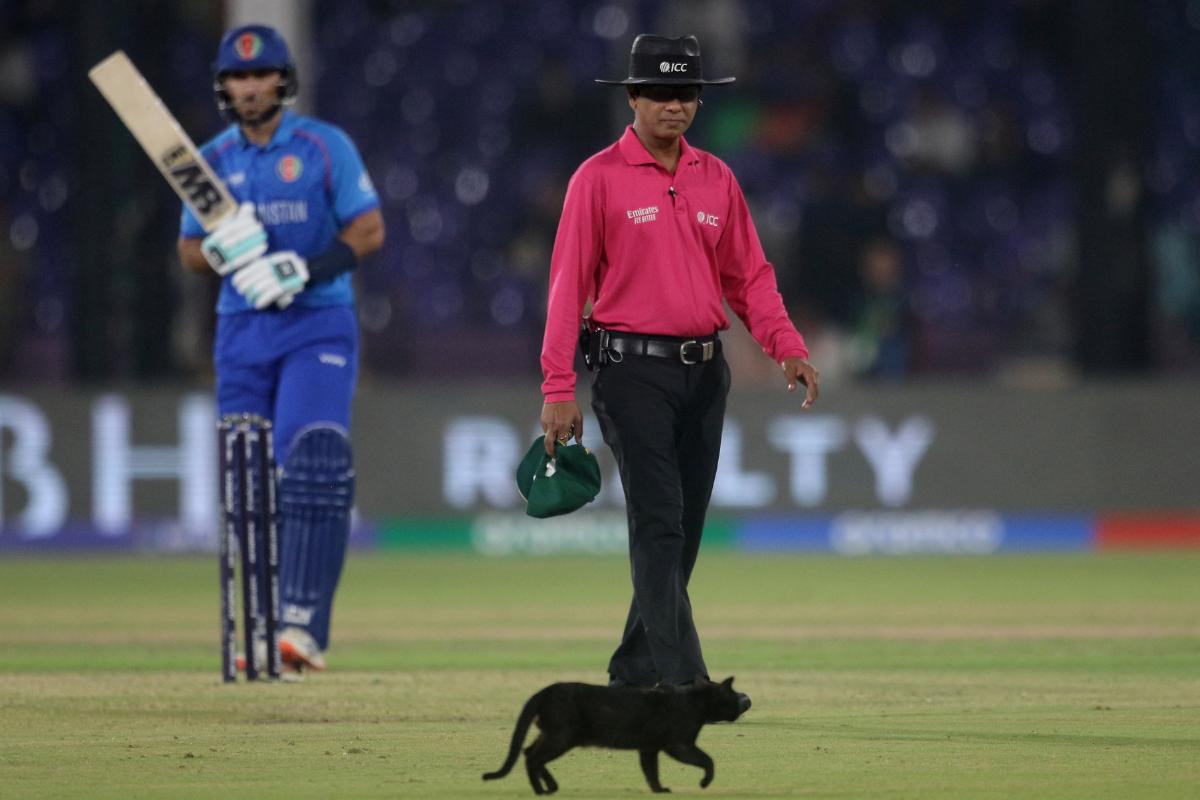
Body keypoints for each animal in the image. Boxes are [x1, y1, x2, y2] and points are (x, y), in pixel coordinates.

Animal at [480, 676, 748, 796]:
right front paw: (704, 783)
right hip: (562, 737)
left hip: (553, 735)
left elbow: (651, 771)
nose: (744, 700)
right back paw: (541, 790)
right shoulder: (679, 744)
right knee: (532, 757)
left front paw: (658, 789)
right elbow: (707, 760)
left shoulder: (649, 747)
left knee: (529, 752)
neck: (695, 703)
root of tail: (543, 692)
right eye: (732, 696)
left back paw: (551, 786)